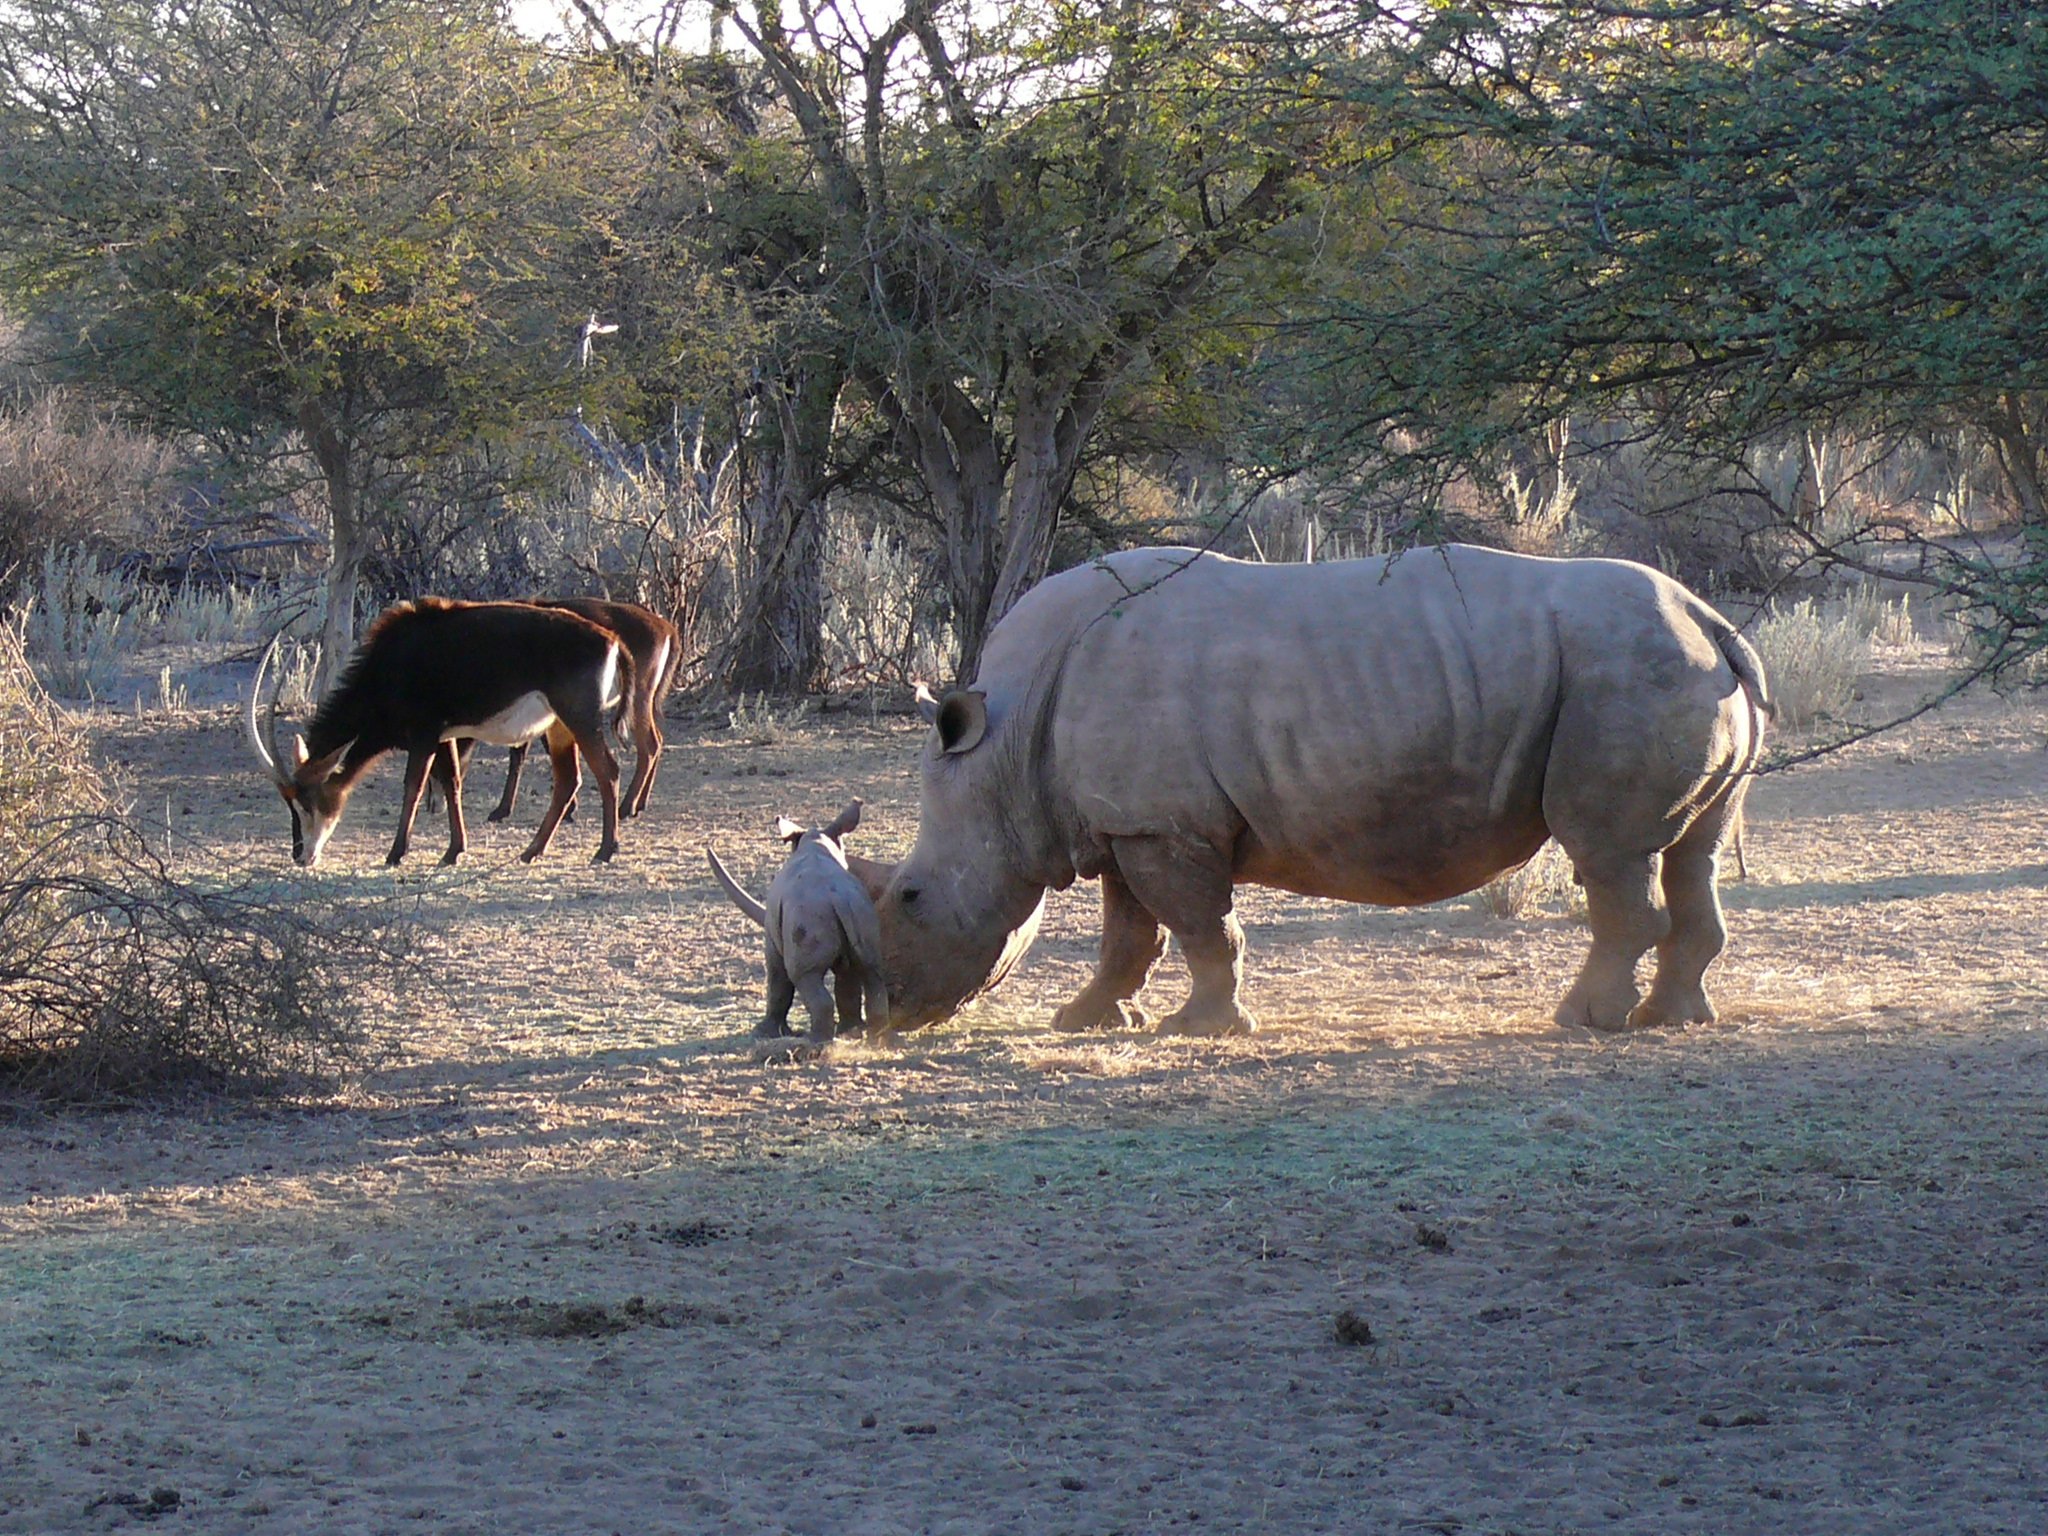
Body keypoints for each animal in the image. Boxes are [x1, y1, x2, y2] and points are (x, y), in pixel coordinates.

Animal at [245, 598, 630, 868]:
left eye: (307, 802)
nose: (301, 856)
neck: (388, 668)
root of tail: (611, 639)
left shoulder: (424, 736)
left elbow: (412, 788)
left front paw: (396, 854)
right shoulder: (443, 736)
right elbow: (452, 784)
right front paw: (453, 851)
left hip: (579, 717)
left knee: (608, 771)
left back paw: (605, 850)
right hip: (559, 726)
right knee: (568, 780)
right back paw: (531, 852)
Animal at [483, 593, 684, 823]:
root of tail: (667, 629)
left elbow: (522, 752)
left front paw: (502, 810)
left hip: (638, 696)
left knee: (649, 745)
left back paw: (626, 807)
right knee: (657, 739)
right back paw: (639, 804)